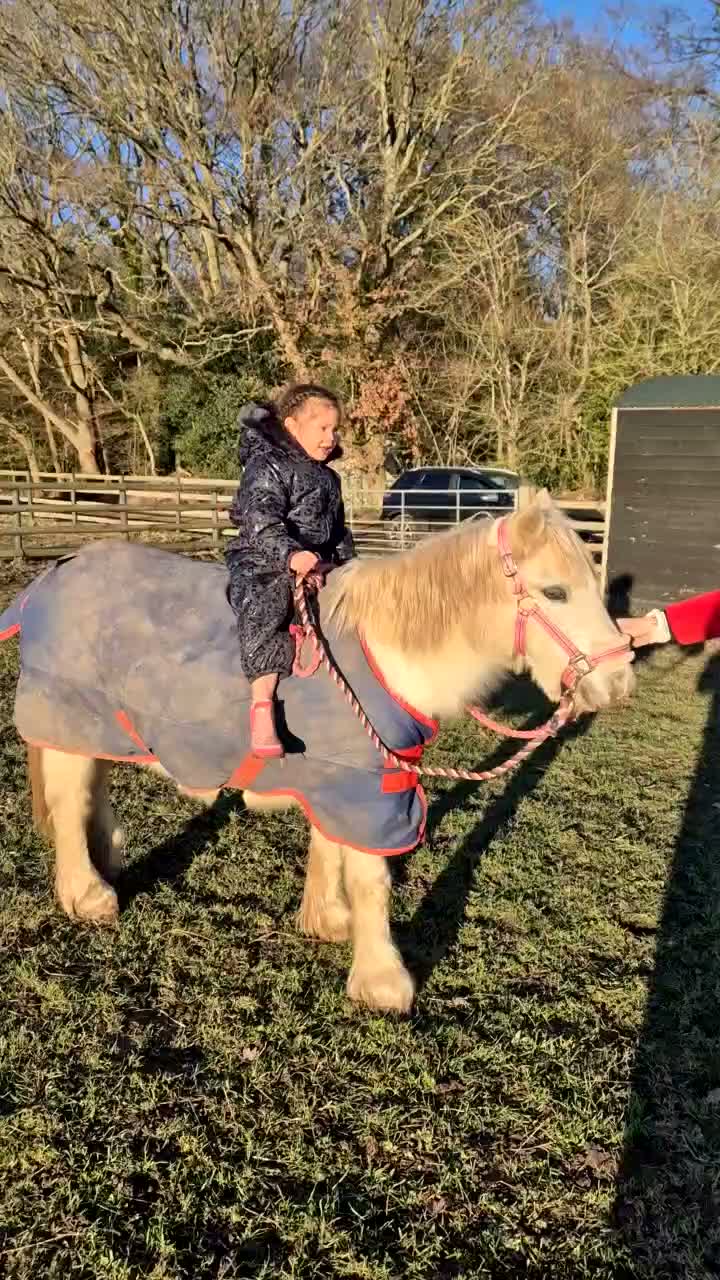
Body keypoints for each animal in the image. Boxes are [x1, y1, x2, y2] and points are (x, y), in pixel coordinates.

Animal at [0, 490, 633, 1013]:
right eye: (555, 591)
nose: (619, 683)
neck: (386, 653)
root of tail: (55, 574)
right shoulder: (367, 787)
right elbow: (372, 878)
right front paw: (382, 981)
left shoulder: (344, 775)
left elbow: (331, 849)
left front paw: (328, 920)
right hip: (69, 714)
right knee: (69, 799)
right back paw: (88, 895)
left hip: (100, 725)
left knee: (94, 788)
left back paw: (108, 858)